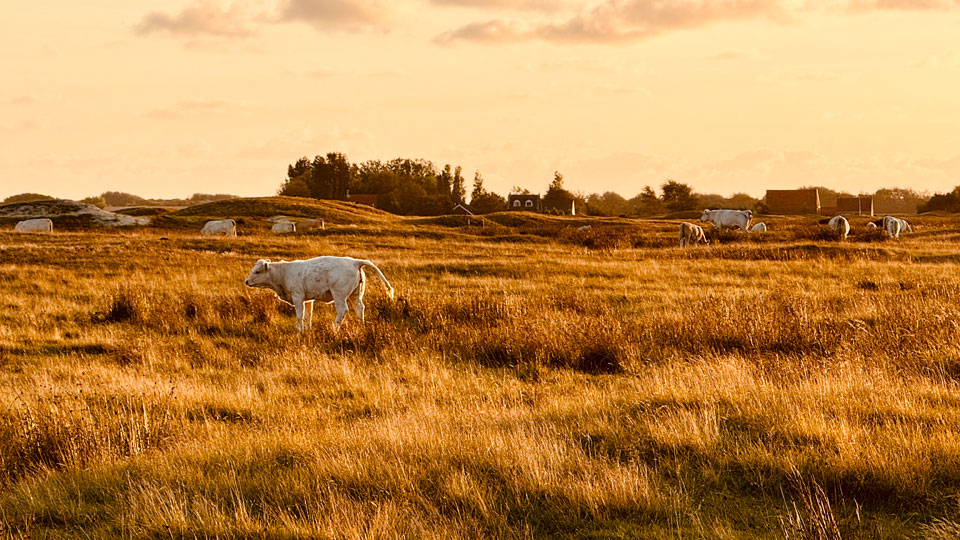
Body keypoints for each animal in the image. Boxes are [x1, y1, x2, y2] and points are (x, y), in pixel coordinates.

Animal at [244, 256, 395, 332]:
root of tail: (354, 262)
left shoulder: (298, 297)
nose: (246, 281)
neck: (284, 272)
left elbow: (300, 316)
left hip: (339, 295)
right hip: (355, 294)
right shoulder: (308, 300)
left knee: (342, 310)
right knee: (359, 307)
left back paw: (335, 329)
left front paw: (299, 331)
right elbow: (308, 316)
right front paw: (307, 330)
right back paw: (360, 326)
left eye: (257, 271)